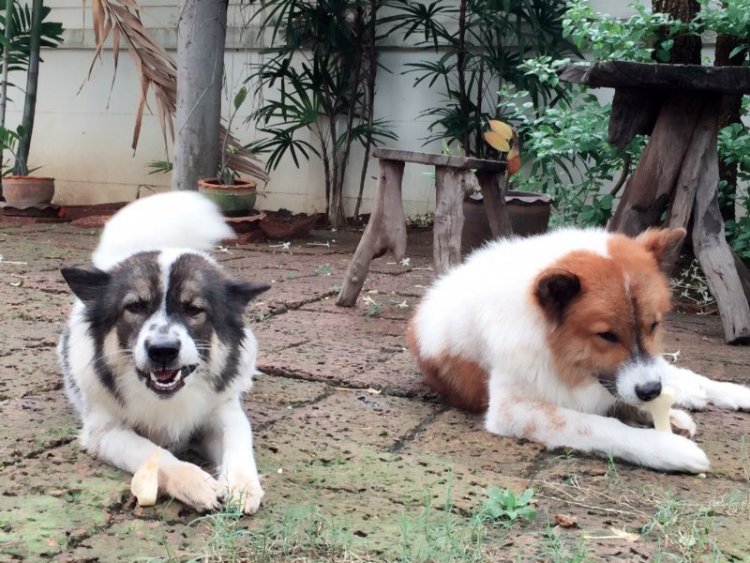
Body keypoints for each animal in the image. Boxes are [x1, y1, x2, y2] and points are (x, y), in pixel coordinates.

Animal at [58, 191, 269, 513]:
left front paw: (243, 485)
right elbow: (152, 451)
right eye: (134, 306)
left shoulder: (223, 410)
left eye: (193, 309)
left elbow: (238, 441)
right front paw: (194, 482)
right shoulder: (104, 431)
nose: (162, 351)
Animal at [408, 227, 750, 473]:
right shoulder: (513, 410)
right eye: (607, 335)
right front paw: (668, 447)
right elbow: (600, 425)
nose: (651, 391)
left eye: (653, 325)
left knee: (682, 375)